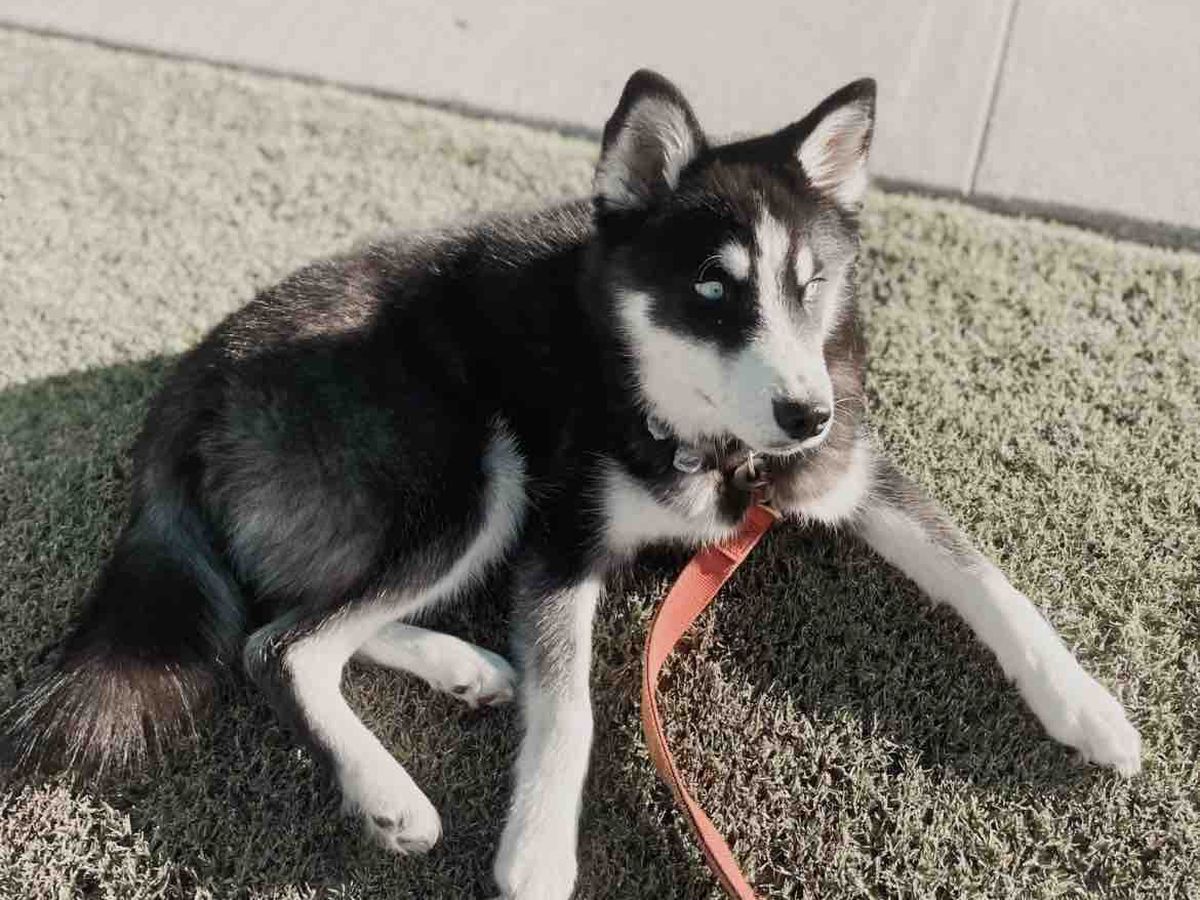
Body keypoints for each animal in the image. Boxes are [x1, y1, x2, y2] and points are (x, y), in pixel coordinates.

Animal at [3, 70, 1141, 899]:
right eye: (712, 290)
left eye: (810, 286)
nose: (805, 413)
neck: (706, 439)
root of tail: (194, 372)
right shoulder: (561, 537)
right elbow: (572, 705)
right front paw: (541, 852)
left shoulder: (852, 472)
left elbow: (988, 580)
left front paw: (1086, 707)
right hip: (477, 468)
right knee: (280, 642)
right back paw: (389, 789)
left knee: (298, 613)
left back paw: (463, 665)